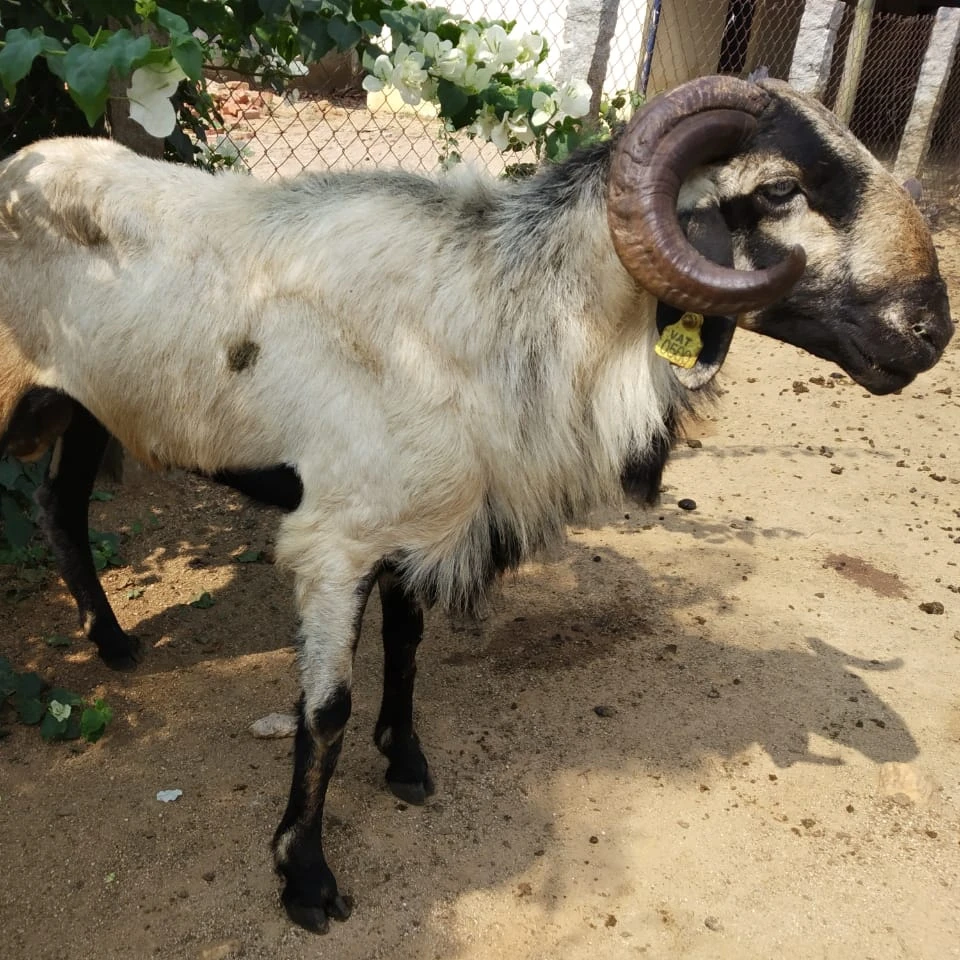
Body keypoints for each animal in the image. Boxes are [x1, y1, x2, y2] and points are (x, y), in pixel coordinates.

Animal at [0, 75, 952, 933]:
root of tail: (23, 162)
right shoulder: (334, 541)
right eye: (779, 190)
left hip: (86, 406)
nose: (929, 333)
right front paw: (305, 881)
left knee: (60, 507)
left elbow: (408, 645)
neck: (497, 317)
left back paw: (114, 644)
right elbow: (324, 713)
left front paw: (407, 763)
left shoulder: (420, 524)